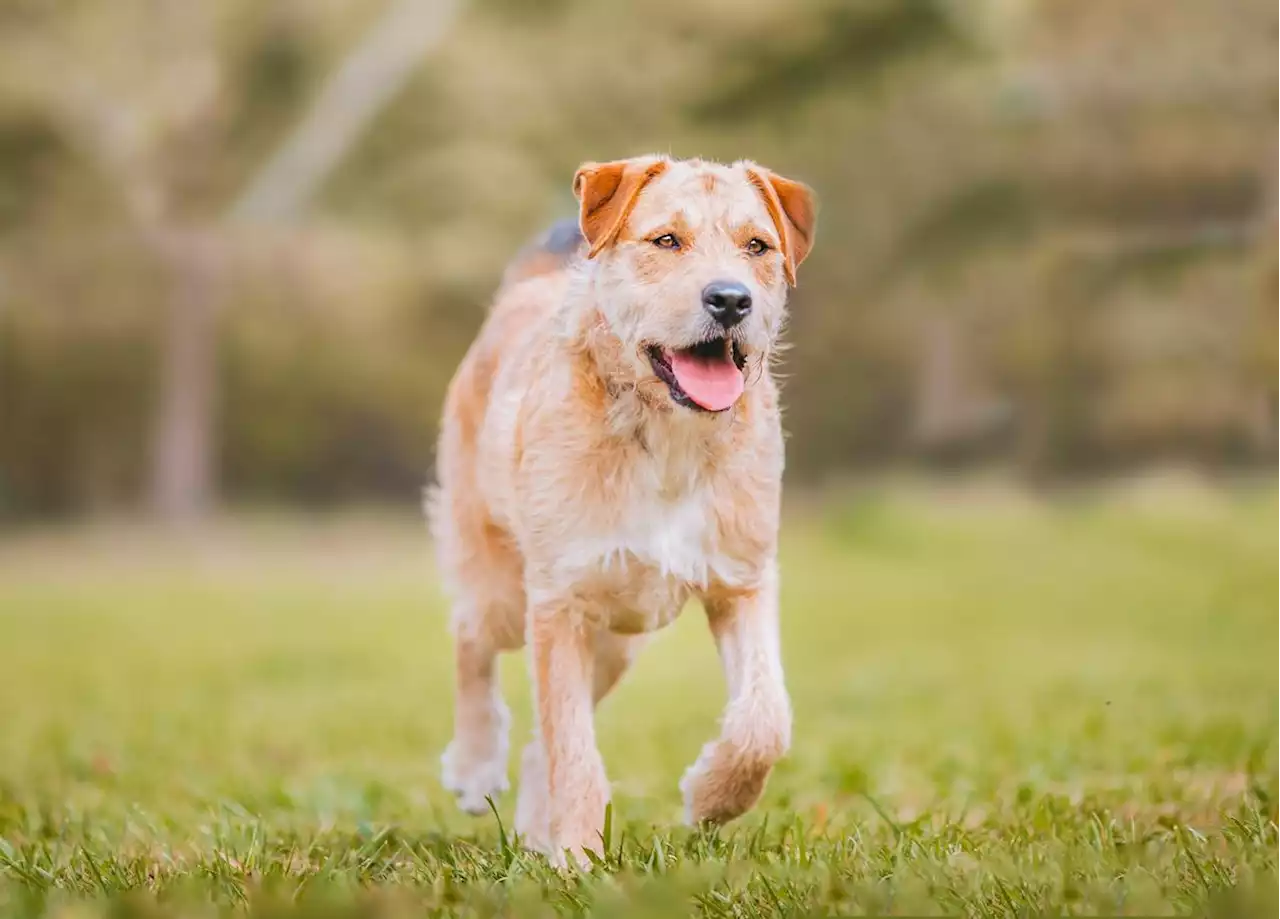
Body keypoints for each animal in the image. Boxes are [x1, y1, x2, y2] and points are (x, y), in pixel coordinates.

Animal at [427, 154, 808, 865]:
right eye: (666, 241)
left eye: (758, 247)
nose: (731, 299)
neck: (666, 438)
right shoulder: (560, 602)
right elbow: (574, 751)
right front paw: (579, 862)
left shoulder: (741, 581)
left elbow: (764, 720)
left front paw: (711, 797)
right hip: (501, 587)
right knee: (470, 641)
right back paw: (475, 766)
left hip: (618, 641)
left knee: (539, 741)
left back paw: (533, 829)